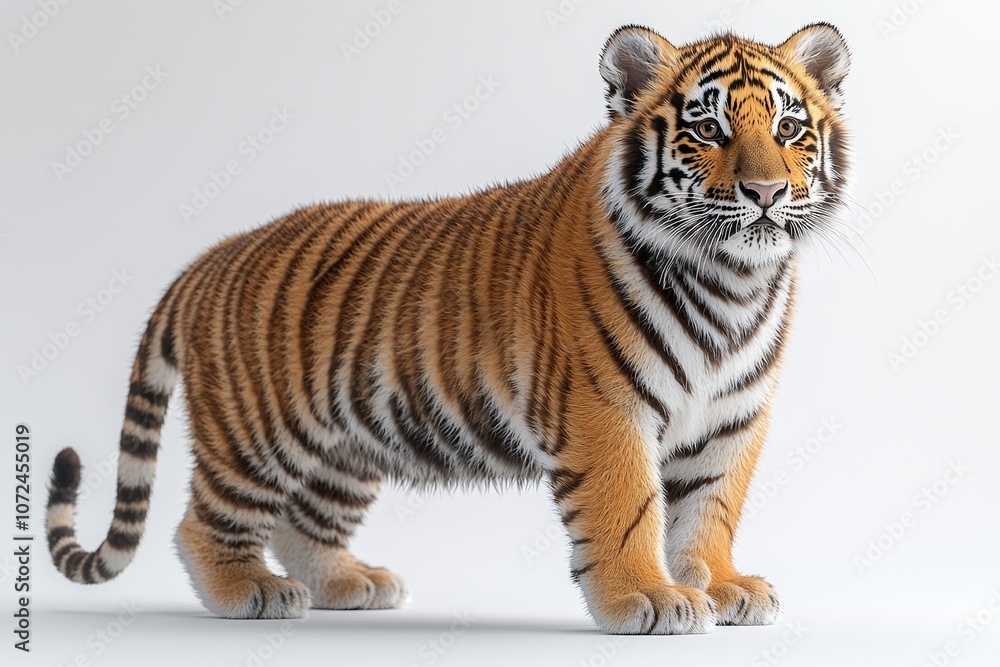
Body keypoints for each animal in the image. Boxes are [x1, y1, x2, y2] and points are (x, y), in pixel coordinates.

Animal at [45, 23, 850, 634]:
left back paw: (352, 584)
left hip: (345, 443)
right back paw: (248, 591)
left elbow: (710, 509)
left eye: (788, 128)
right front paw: (646, 597)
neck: (731, 281)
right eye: (708, 129)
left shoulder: (733, 416)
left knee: (304, 523)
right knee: (203, 522)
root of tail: (208, 257)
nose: (767, 191)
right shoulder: (604, 409)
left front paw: (722, 585)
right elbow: (628, 507)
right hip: (254, 431)